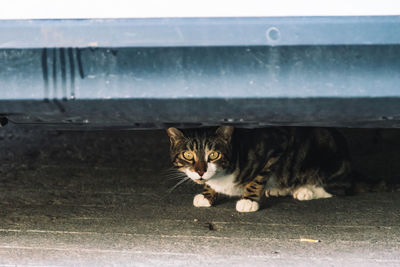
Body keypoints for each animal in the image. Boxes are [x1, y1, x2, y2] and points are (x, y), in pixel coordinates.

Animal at [166, 126, 350, 214]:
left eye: (213, 154)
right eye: (188, 155)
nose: (200, 172)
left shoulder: (276, 147)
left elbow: (257, 179)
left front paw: (248, 201)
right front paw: (206, 195)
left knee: (340, 188)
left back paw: (305, 191)